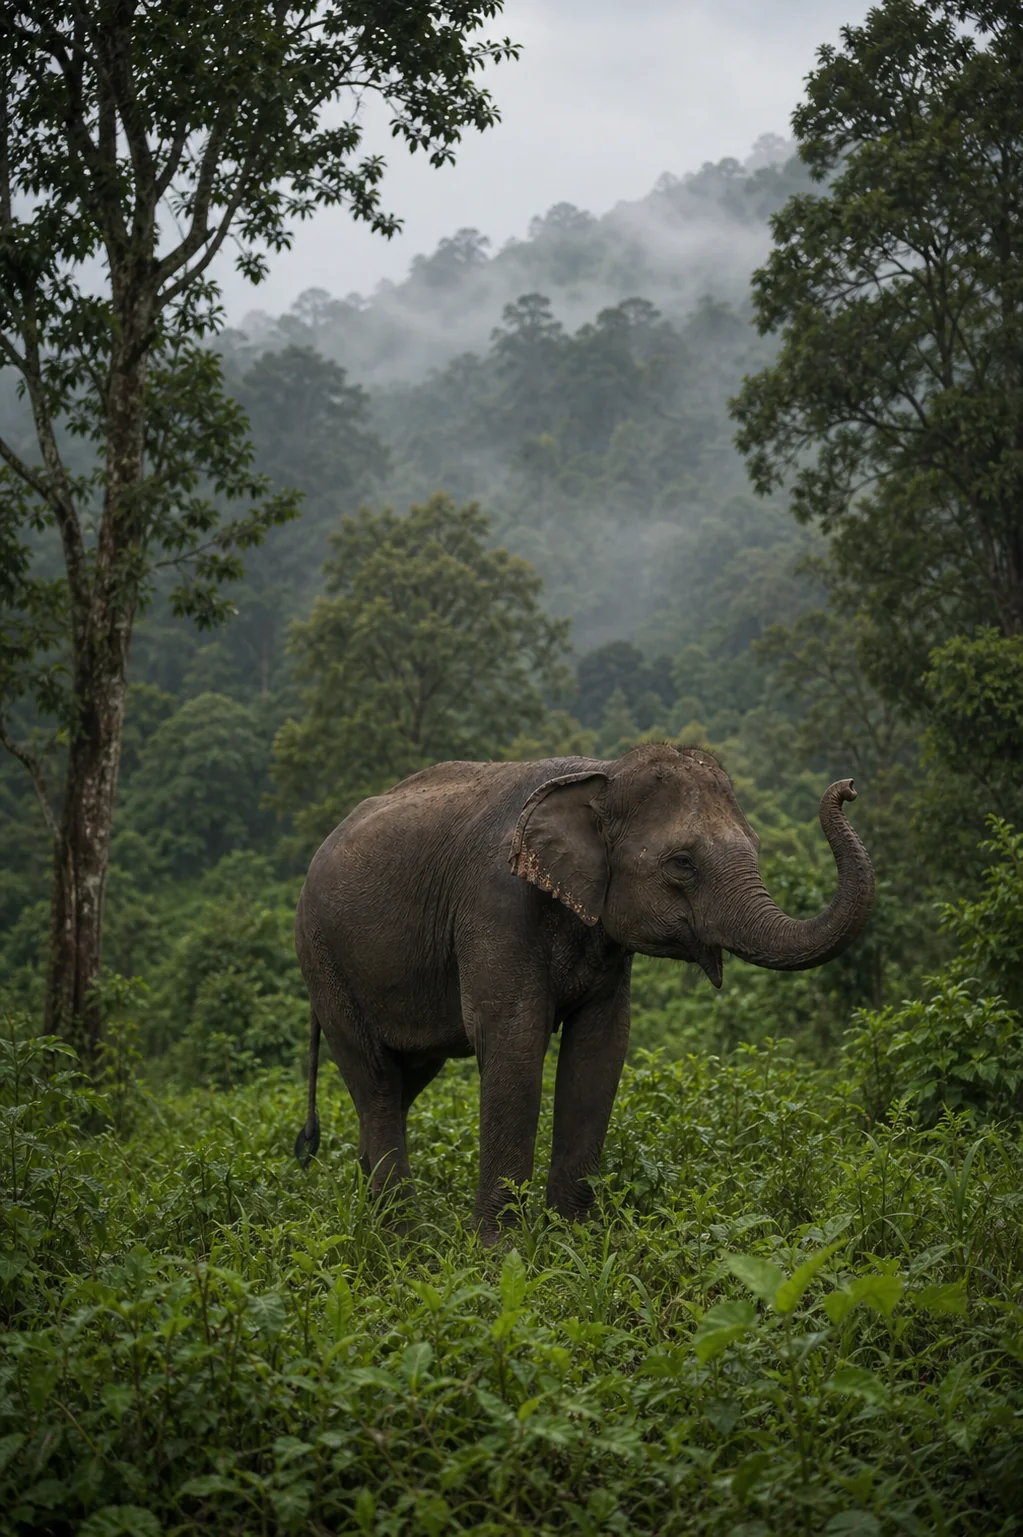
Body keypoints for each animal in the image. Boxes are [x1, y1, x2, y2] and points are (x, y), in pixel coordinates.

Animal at [293, 743, 874, 1240]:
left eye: (755, 847)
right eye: (682, 863)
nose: (848, 787)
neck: (603, 772)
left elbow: (599, 1049)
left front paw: (575, 1242)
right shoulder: (493, 905)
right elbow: (513, 1039)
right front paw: (499, 1253)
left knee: (403, 1081)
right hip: (324, 961)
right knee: (376, 1081)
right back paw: (403, 1242)